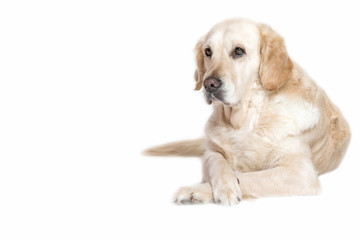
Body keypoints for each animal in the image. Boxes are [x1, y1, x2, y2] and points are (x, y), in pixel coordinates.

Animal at [143, 18, 348, 205]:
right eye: (208, 52)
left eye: (238, 51)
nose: (209, 84)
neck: (246, 118)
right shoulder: (211, 152)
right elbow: (218, 164)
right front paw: (222, 184)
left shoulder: (301, 173)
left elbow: (250, 177)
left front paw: (201, 189)